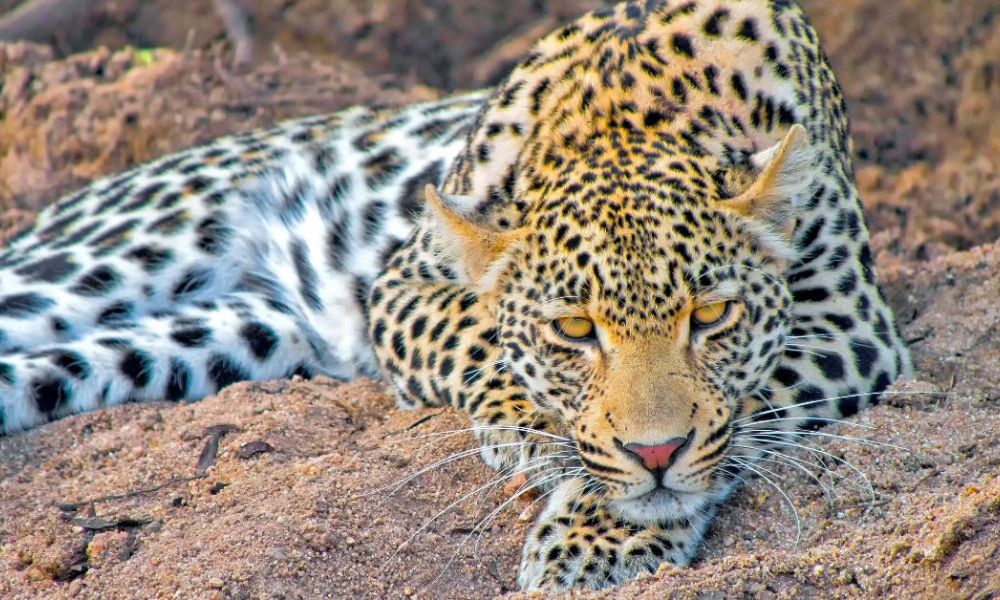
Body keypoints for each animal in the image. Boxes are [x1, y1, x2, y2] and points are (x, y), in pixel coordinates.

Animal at [0, 0, 910, 591]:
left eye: (712, 316)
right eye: (574, 329)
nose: (655, 455)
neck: (636, 112)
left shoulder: (849, 323)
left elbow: (744, 405)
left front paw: (596, 537)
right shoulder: (402, 284)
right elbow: (475, 330)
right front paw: (537, 431)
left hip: (206, 341)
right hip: (101, 257)